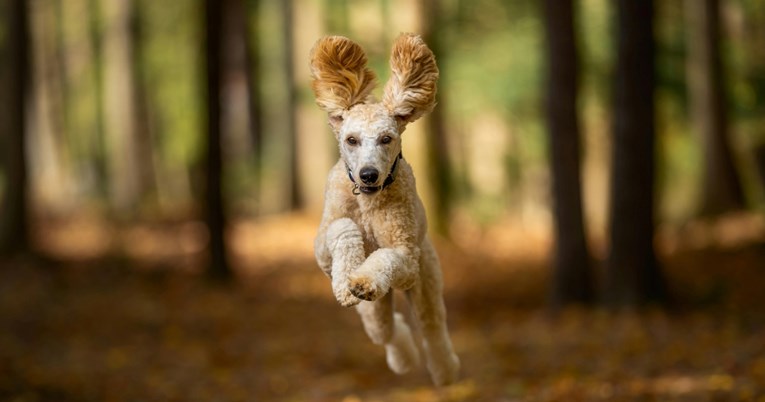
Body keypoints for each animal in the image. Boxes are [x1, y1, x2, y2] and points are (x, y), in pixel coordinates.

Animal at [308, 33, 460, 384]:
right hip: (374, 312)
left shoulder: (407, 260)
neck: (367, 201)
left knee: (431, 329)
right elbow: (342, 228)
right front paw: (347, 283)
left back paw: (445, 371)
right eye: (351, 139)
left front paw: (364, 279)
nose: (368, 174)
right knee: (389, 331)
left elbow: (387, 257)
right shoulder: (323, 250)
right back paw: (402, 357)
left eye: (386, 138)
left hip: (425, 282)